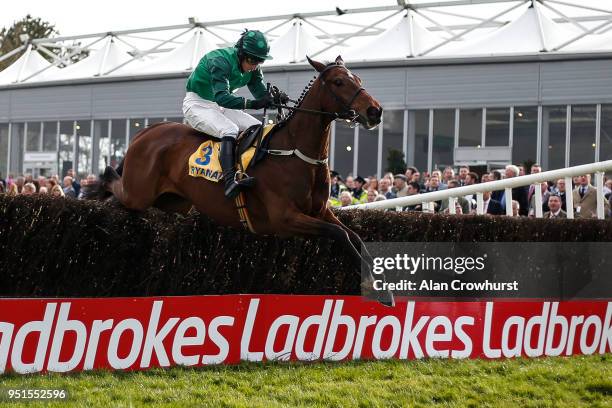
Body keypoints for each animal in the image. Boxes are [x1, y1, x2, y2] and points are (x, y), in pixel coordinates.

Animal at [94, 55, 394, 306]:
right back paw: (101, 186)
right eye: (338, 82)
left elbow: (355, 236)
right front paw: (372, 288)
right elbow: (339, 234)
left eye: (359, 79)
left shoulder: (320, 211)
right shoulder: (285, 219)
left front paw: (383, 288)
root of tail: (147, 131)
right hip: (139, 192)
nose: (375, 111)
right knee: (116, 187)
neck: (294, 151)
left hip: (173, 202)